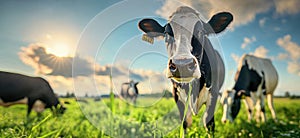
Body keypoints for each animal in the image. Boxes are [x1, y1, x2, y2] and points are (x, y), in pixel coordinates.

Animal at [138, 5, 232, 133]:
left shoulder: (214, 92)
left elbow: (209, 123)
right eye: (167, 34)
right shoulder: (176, 94)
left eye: (201, 32)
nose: (182, 64)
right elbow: (185, 122)